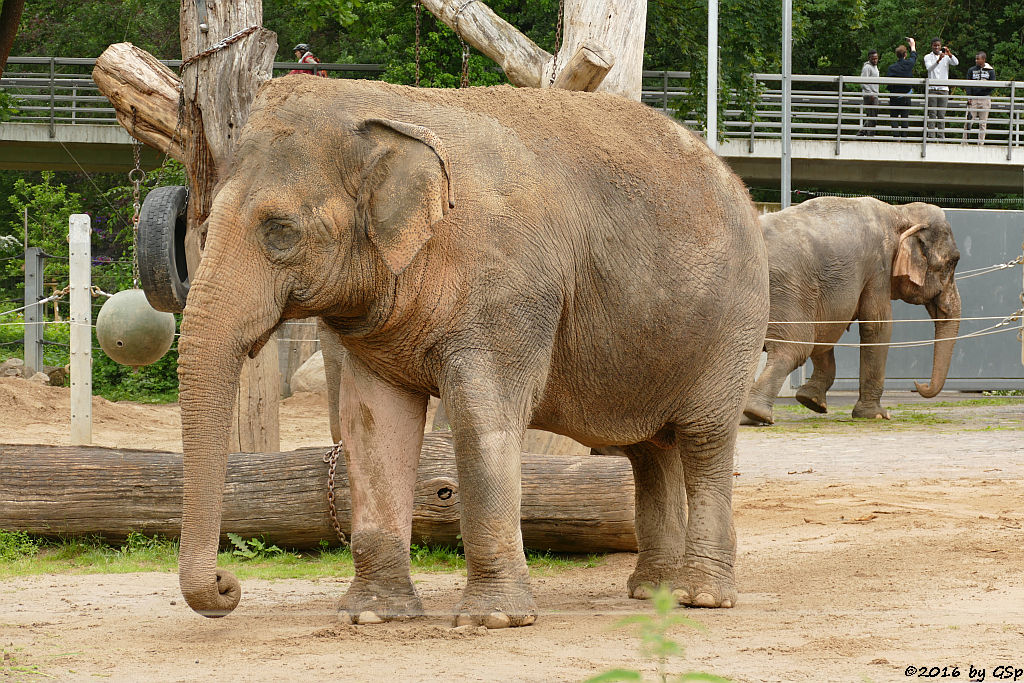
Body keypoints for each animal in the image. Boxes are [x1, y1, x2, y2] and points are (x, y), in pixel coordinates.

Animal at [176, 77, 770, 626]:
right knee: (649, 451)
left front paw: (493, 620)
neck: (385, 107)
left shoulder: (508, 290)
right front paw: (372, 617)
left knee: (703, 438)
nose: (228, 586)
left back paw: (701, 599)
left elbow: (483, 416)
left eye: (280, 230)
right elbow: (372, 423)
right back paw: (652, 592)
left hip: (734, 324)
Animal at [745, 194, 958, 423]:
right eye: (950, 264)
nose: (919, 384)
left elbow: (827, 331)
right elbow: (878, 326)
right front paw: (877, 415)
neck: (899, 211)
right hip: (787, 288)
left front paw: (811, 402)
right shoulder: (878, 267)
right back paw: (756, 414)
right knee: (793, 349)